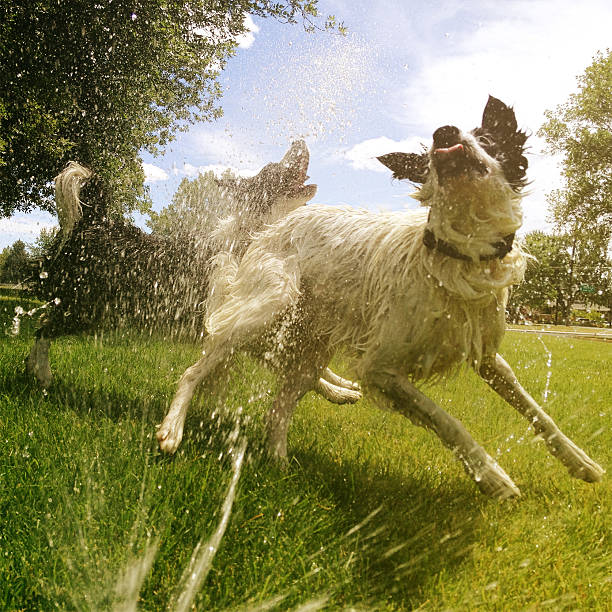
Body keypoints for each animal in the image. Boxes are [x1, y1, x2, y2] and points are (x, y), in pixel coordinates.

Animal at [157, 97, 604, 498]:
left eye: (487, 138)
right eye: (429, 158)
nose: (443, 131)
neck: (456, 256)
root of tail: (270, 229)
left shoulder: (487, 355)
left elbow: (535, 410)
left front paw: (580, 462)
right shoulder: (379, 369)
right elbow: (446, 420)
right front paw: (492, 477)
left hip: (310, 346)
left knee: (278, 409)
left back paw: (280, 463)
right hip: (267, 306)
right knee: (197, 367)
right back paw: (172, 429)